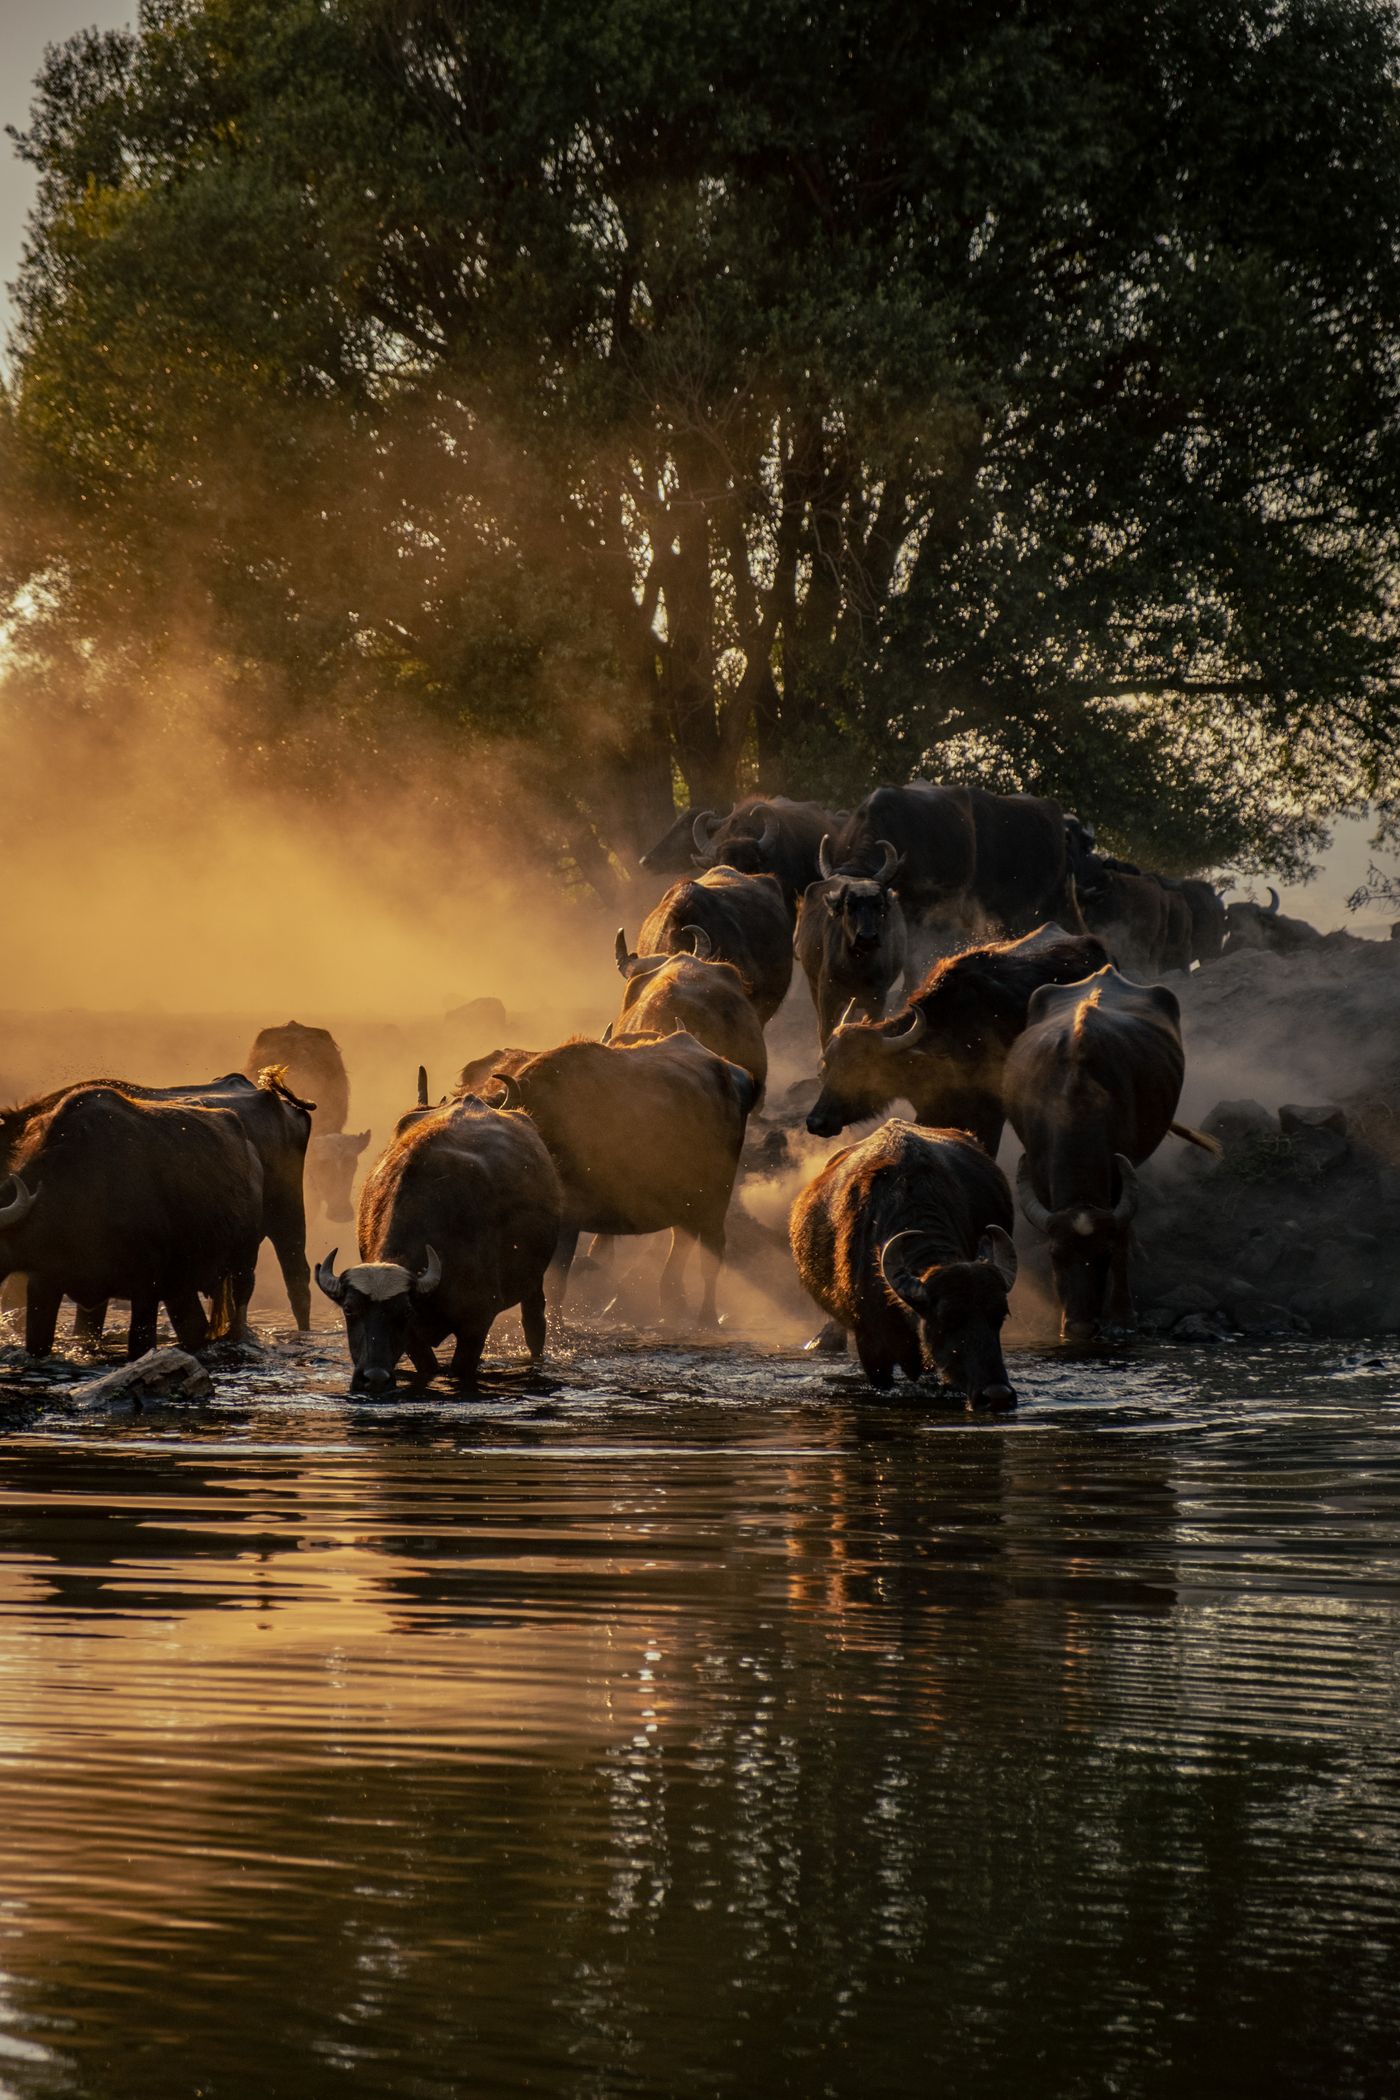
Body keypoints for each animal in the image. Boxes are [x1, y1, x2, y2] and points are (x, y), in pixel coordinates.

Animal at [317, 1095, 561, 1394]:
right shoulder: (413, 1335)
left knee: (534, 1324)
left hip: (534, 1282)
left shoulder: (476, 1323)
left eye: (403, 1310)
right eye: (349, 1309)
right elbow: (429, 1367)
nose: (374, 1378)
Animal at [488, 1031, 756, 1323]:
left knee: (711, 1254)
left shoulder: (569, 1218)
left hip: (717, 1199)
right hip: (686, 1202)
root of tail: (733, 1074)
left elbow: (558, 1277)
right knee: (681, 1242)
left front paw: (557, 1322)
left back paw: (707, 1316)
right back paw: (672, 1305)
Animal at [795, 838, 907, 1043]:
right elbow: (826, 1031)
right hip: (814, 985)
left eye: (879, 905)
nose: (867, 937)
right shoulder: (827, 995)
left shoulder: (877, 999)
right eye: (849, 904)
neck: (857, 965)